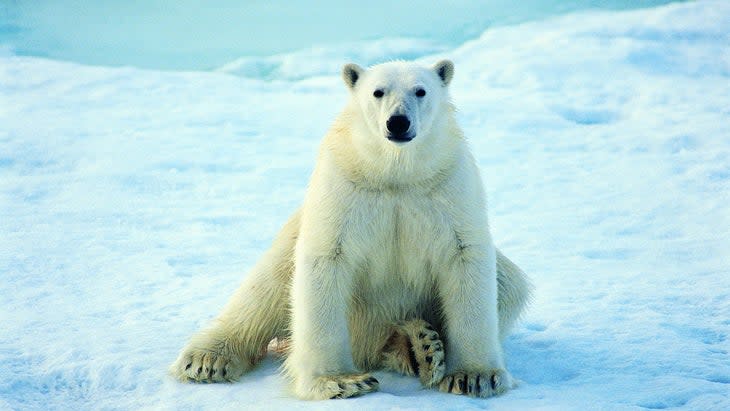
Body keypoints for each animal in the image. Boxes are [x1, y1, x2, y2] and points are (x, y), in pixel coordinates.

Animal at [173, 59, 532, 400]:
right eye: (378, 92)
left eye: (420, 90)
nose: (398, 122)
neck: (395, 173)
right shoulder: (344, 186)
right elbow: (326, 260)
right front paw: (340, 382)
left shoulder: (447, 186)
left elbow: (465, 258)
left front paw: (474, 377)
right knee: (262, 290)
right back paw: (206, 359)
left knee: (510, 284)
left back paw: (420, 347)